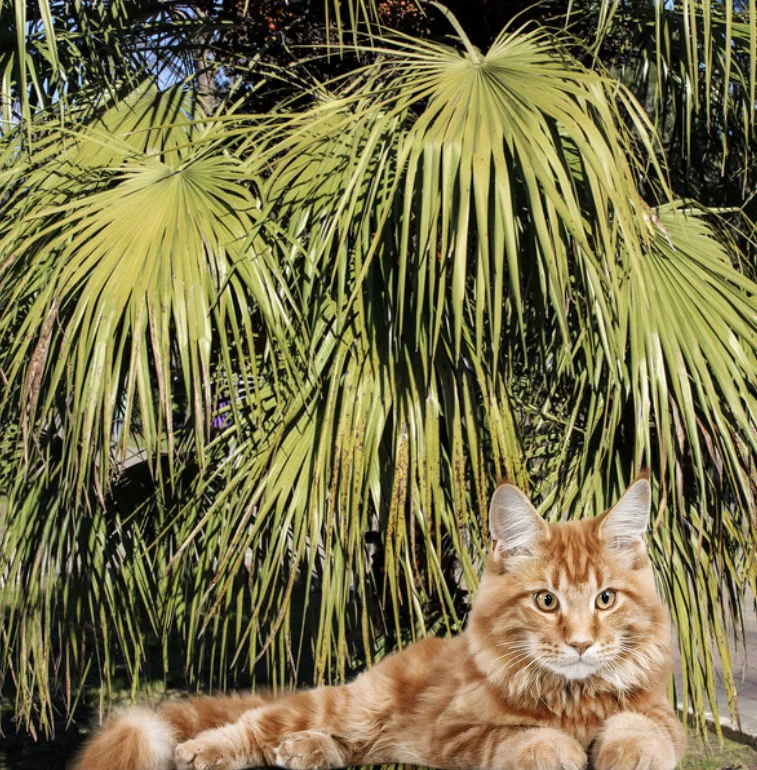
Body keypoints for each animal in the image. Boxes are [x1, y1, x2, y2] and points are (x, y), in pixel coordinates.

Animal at [72, 474, 684, 768]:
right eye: (546, 601)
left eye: (605, 599)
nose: (581, 644)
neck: (571, 698)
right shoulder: (457, 732)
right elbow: (525, 738)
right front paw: (558, 749)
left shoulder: (659, 714)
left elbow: (642, 729)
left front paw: (628, 752)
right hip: (348, 704)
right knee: (254, 723)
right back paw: (205, 752)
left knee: (352, 748)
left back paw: (305, 752)